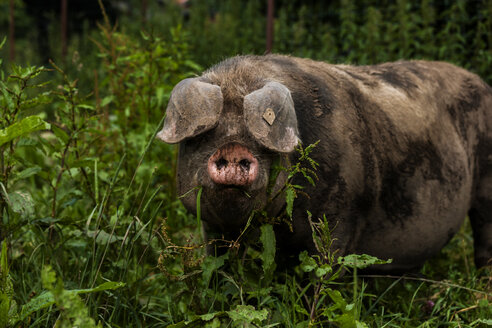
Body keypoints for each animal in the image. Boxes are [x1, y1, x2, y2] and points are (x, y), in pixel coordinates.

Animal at [159, 55, 492, 270]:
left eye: (260, 139)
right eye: (203, 135)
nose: (232, 147)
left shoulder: (340, 217)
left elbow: (322, 274)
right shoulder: (212, 226)